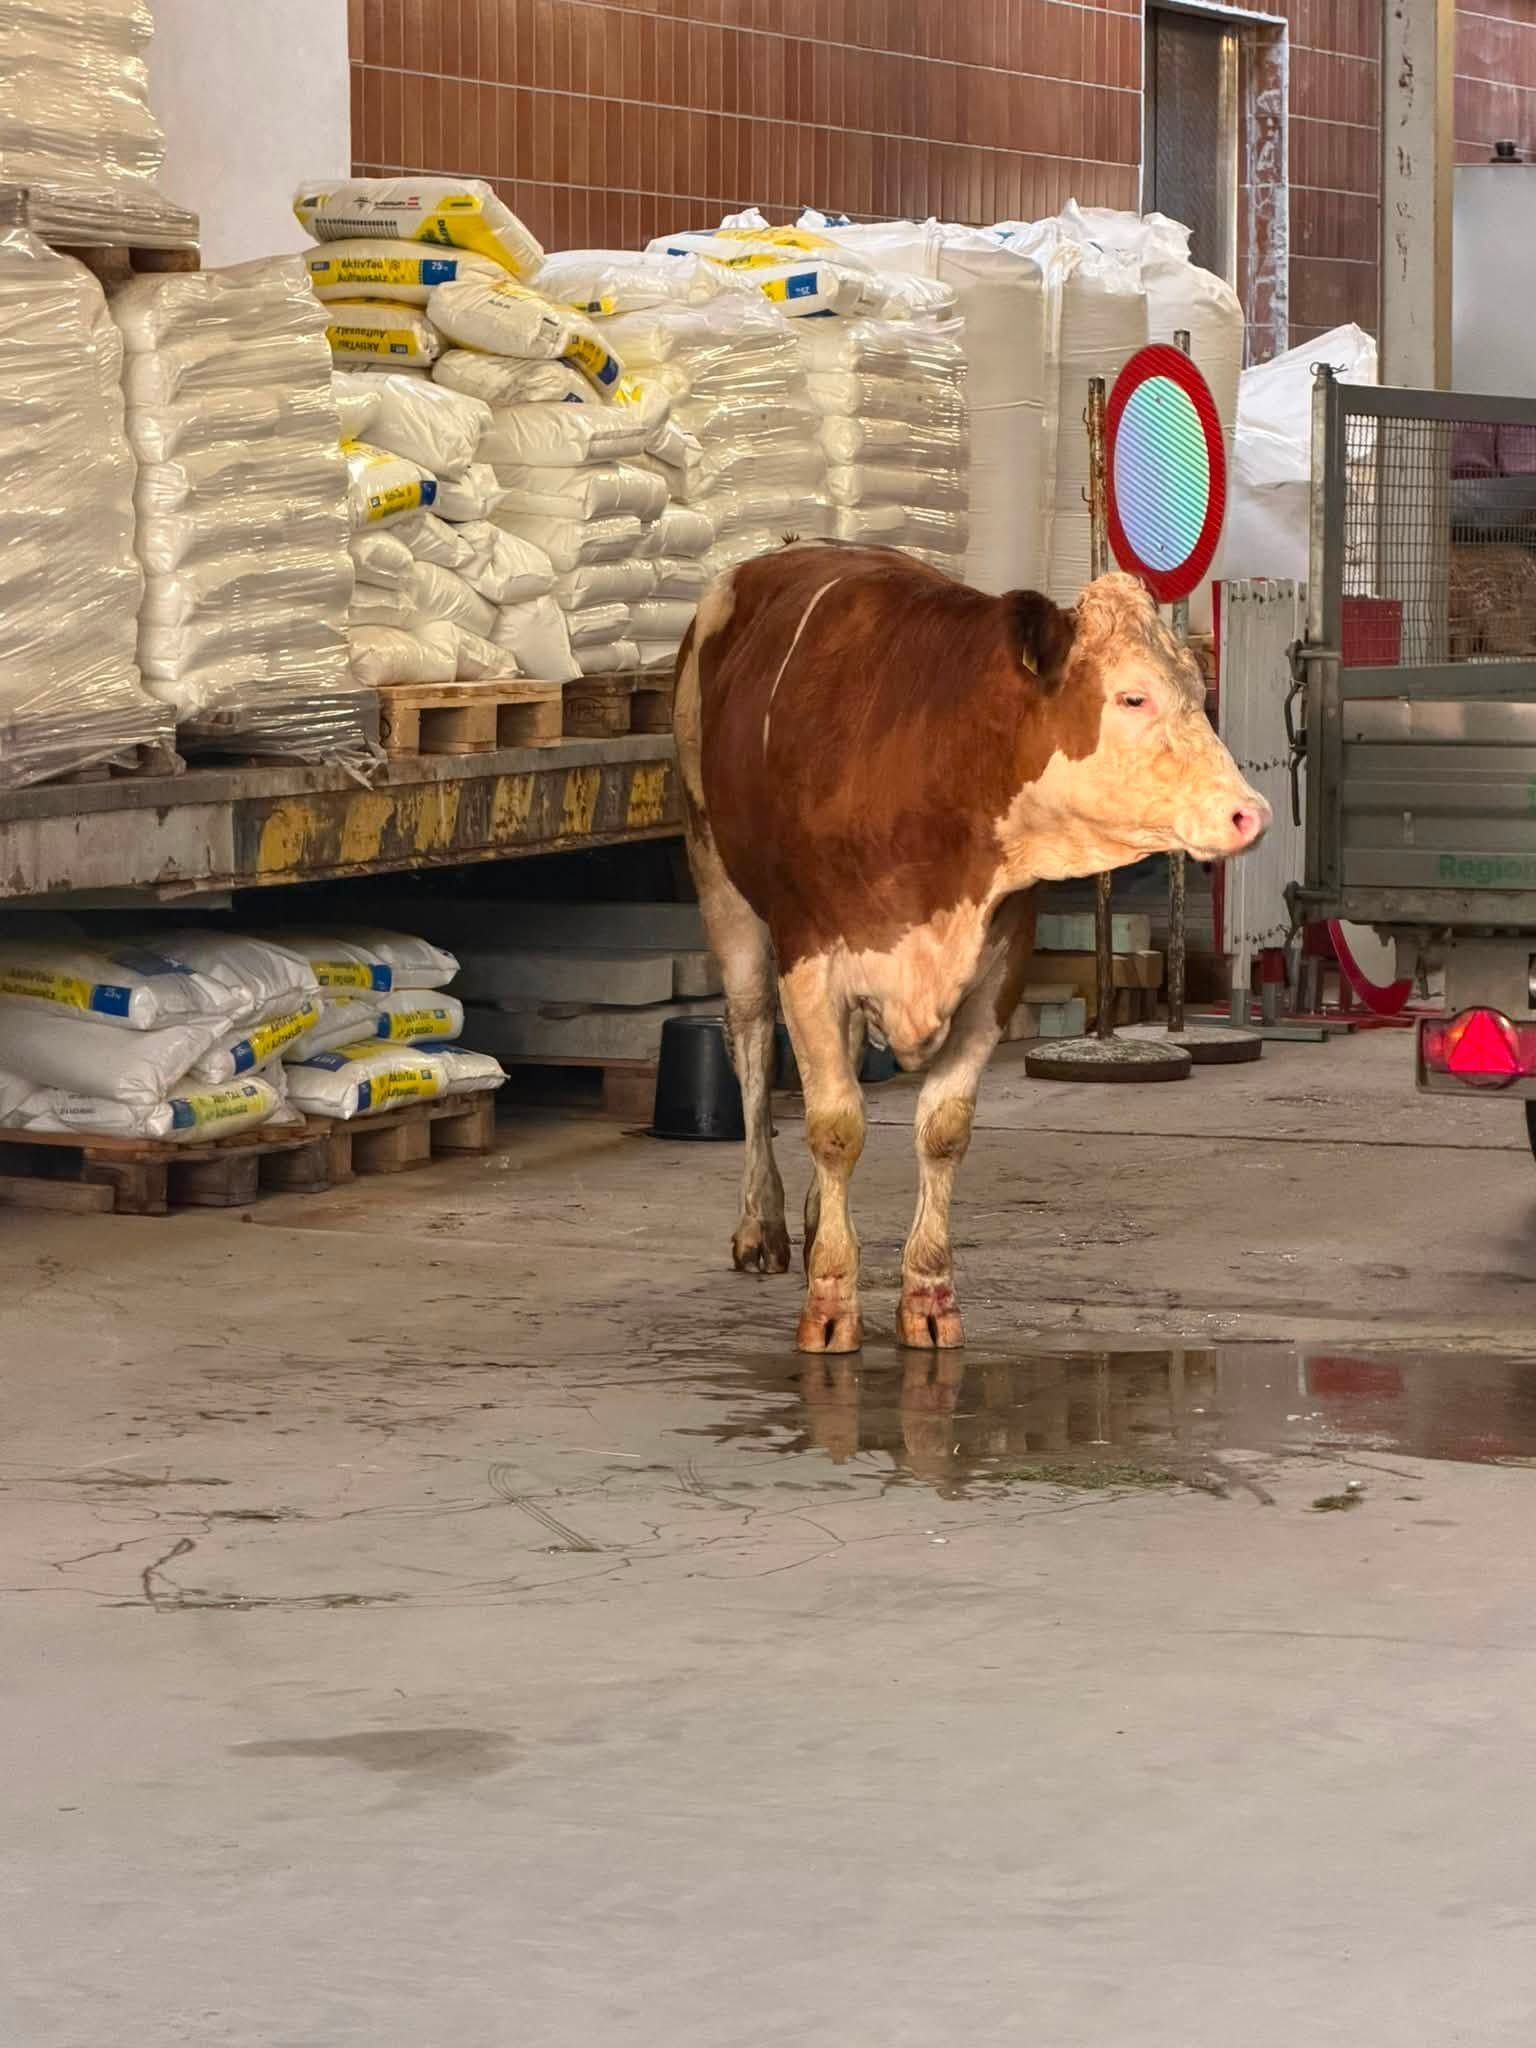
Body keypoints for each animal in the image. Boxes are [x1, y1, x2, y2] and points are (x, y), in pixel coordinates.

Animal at [674, 543, 1269, 1356]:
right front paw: (831, 1300)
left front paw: (927, 1294)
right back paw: (762, 1220)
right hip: (717, 874)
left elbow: (943, 1129)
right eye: (1132, 698)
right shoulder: (810, 957)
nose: (1250, 812)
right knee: (753, 1040)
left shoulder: (997, 966)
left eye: (1195, 691)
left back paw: (815, 1214)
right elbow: (835, 1126)